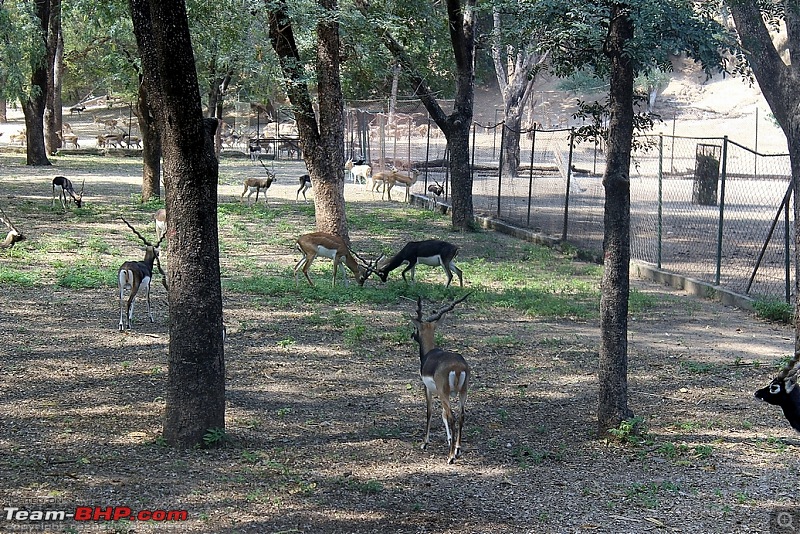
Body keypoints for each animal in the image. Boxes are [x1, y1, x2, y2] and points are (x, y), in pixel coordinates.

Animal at [410, 294, 472, 464]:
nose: (412, 335)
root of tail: (458, 367)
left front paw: (425, 443)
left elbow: (430, 411)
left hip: (444, 393)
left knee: (452, 417)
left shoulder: (428, 388)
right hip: (462, 392)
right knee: (461, 416)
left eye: (416, 328)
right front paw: (450, 441)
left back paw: (450, 457)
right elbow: (443, 414)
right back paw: (457, 449)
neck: (429, 354)